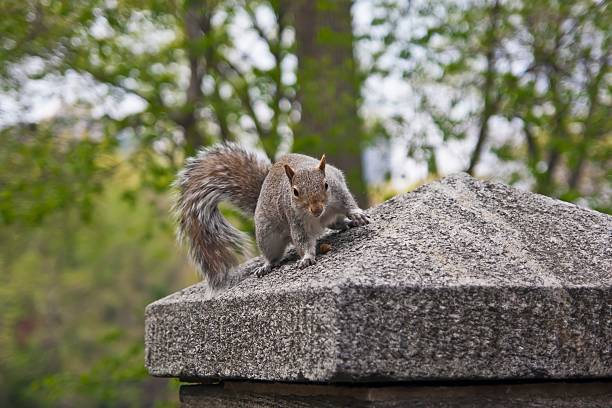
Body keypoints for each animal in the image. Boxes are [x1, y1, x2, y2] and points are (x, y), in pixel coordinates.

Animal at [175, 143, 370, 290]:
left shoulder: (339, 191)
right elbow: (302, 240)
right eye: (295, 192)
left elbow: (348, 202)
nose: (316, 209)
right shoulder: (294, 219)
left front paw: (357, 215)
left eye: (326, 184)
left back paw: (347, 223)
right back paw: (267, 265)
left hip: (328, 216)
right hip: (267, 236)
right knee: (273, 254)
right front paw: (306, 257)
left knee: (335, 221)